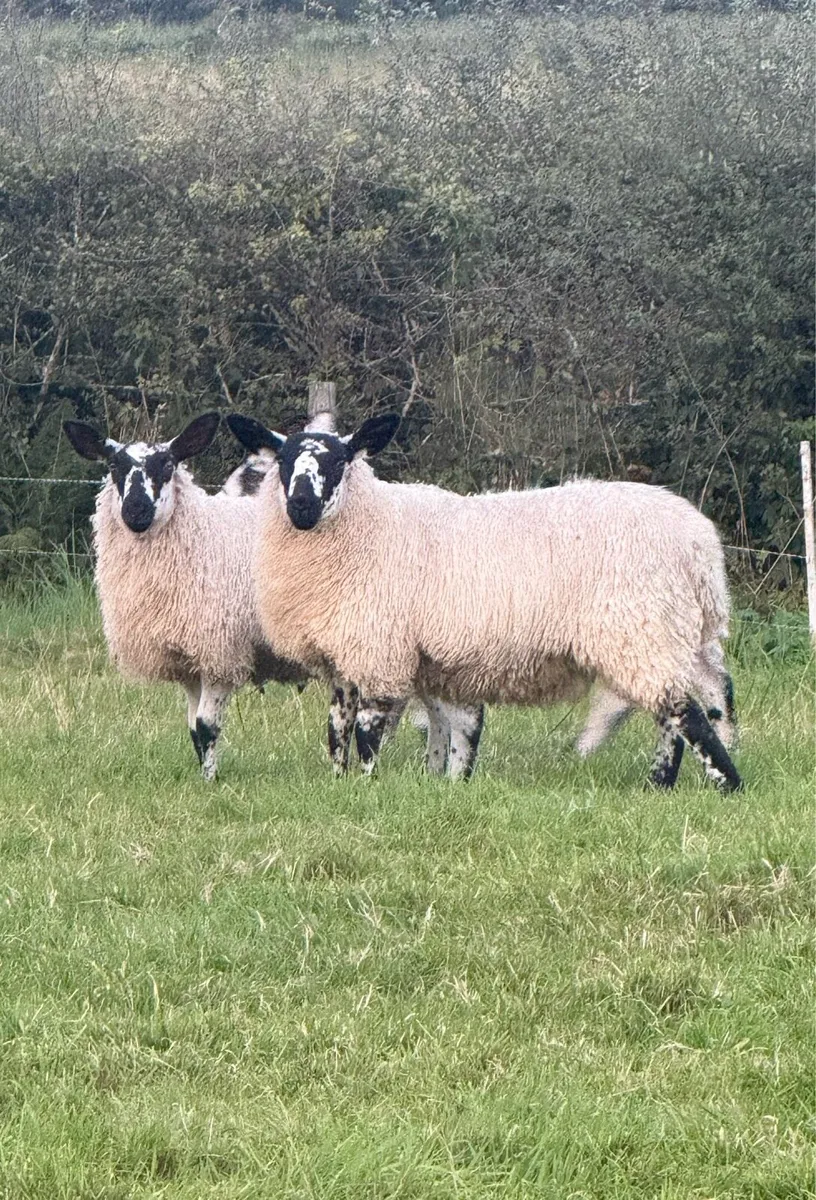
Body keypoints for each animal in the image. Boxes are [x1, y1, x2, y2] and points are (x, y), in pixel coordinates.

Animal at [63, 413, 306, 781]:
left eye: (167, 464)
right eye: (114, 466)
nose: (136, 510)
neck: (201, 536)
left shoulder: (221, 651)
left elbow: (207, 726)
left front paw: (210, 780)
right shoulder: (187, 659)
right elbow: (193, 728)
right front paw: (205, 773)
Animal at [226, 412, 741, 790]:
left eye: (339, 463)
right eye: (284, 462)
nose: (302, 507)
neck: (368, 525)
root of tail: (699, 543)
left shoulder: (378, 649)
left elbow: (368, 731)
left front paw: (367, 786)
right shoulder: (347, 654)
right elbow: (337, 729)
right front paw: (341, 783)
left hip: (641, 629)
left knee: (684, 712)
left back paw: (722, 784)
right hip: (682, 633)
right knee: (707, 699)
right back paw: (666, 783)